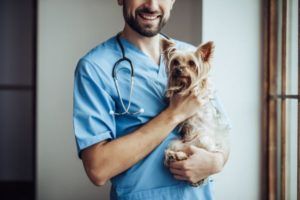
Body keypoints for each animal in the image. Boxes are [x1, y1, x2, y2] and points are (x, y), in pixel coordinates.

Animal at [162, 38, 230, 186]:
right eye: (175, 62)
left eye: (191, 63)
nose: (178, 69)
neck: (184, 84)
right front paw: (172, 90)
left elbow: (201, 85)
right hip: (176, 143)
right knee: (176, 153)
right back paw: (174, 156)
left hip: (204, 140)